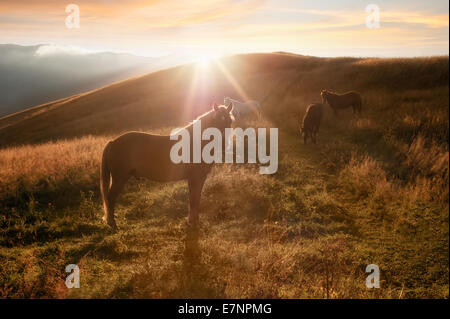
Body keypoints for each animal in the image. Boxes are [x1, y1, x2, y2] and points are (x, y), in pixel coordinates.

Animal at [100, 104, 234, 229]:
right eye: (216, 120)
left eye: (230, 121)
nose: (225, 143)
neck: (197, 143)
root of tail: (112, 142)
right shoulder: (195, 178)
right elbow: (193, 199)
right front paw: (192, 222)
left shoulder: (198, 178)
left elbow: (196, 198)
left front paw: (194, 220)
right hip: (119, 179)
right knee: (110, 198)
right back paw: (112, 223)